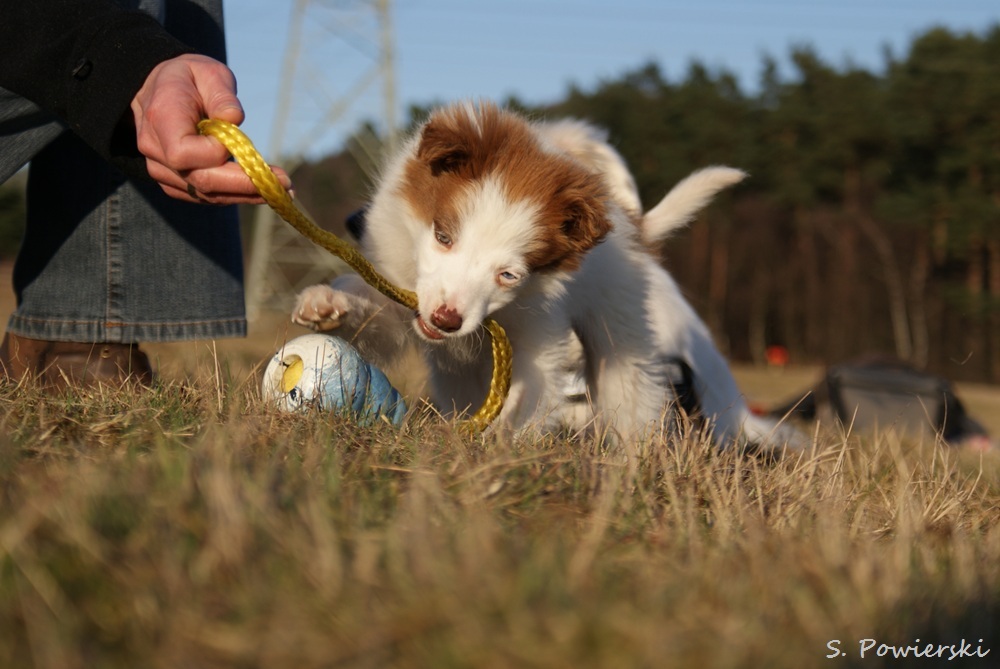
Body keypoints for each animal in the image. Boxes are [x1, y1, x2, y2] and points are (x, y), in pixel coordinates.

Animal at [292, 102, 804, 446]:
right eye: (442, 236)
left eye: (509, 275)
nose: (445, 320)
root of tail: (631, 225)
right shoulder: (404, 293)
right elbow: (373, 310)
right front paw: (326, 304)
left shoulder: (542, 333)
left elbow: (533, 394)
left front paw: (501, 445)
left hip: (622, 331)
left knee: (632, 396)